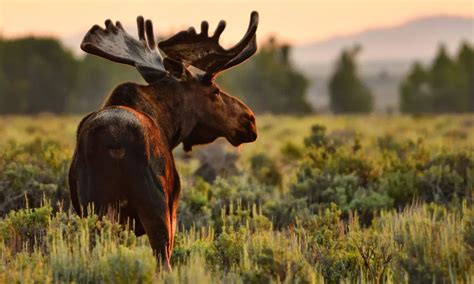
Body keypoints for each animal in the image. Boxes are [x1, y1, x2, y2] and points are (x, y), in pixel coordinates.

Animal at [69, 11, 260, 268]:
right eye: (215, 91)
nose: (249, 120)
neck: (170, 128)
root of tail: (115, 145)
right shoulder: (173, 206)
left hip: (94, 207)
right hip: (156, 207)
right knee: (163, 260)